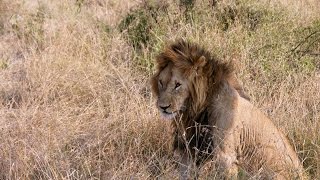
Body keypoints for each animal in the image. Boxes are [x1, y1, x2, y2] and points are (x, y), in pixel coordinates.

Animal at [151, 40, 304, 179]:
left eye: (177, 85)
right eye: (161, 82)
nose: (162, 107)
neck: (195, 109)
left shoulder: (225, 156)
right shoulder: (187, 149)